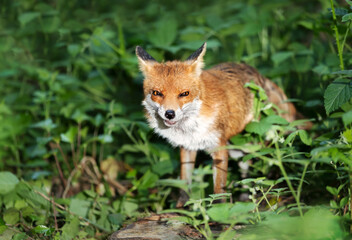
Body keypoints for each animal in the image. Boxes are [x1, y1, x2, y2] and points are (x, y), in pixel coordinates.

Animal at [136, 43, 310, 206]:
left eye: (184, 94)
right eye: (157, 93)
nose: (170, 113)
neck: (191, 125)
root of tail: (263, 78)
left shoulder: (219, 147)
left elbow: (219, 189)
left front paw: (219, 212)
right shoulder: (187, 147)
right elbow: (185, 183)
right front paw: (181, 208)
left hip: (257, 143)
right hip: (238, 149)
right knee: (246, 170)